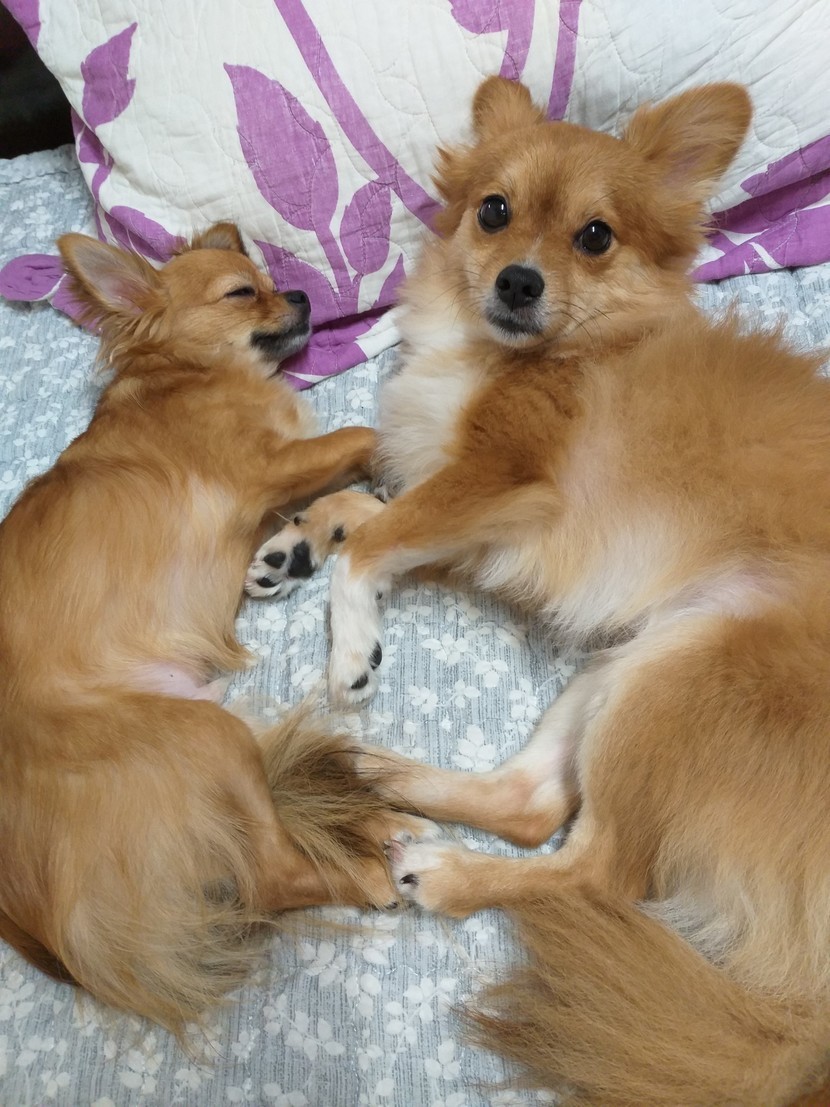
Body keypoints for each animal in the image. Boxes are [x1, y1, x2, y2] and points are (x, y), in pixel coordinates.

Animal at [0, 223, 429, 1035]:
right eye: (242, 292)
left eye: (266, 278)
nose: (300, 295)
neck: (192, 373)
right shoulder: (265, 470)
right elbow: (362, 439)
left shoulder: (270, 494)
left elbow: (347, 504)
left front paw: (296, 550)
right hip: (207, 738)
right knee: (270, 876)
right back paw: (362, 871)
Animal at [246, 81, 830, 1105]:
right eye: (494, 212)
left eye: (596, 236)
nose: (519, 281)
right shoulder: (477, 525)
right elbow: (370, 508)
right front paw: (295, 540)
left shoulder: (499, 481)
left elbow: (375, 544)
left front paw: (351, 644)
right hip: (635, 658)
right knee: (532, 804)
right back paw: (372, 768)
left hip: (688, 672)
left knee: (599, 872)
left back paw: (442, 872)